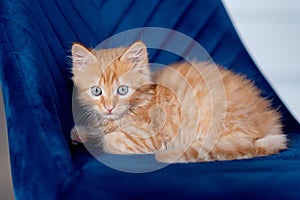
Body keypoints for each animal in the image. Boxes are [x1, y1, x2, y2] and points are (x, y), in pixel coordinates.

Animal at [69, 40, 288, 162]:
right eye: (96, 91)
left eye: (122, 90)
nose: (109, 107)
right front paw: (82, 132)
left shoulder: (147, 138)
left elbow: (110, 142)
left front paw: (97, 139)